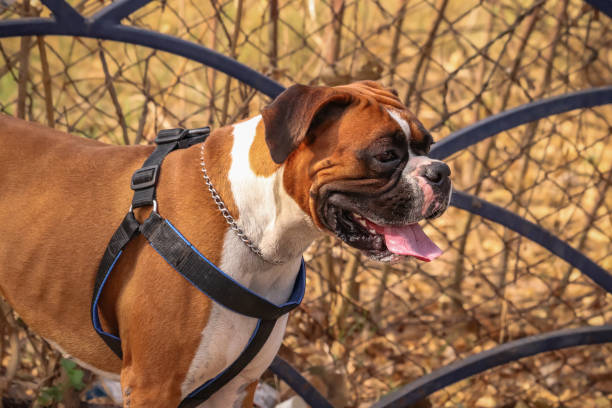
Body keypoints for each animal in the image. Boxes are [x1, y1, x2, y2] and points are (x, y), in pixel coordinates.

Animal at [0, 81, 450, 406]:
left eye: (428, 146)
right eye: (386, 155)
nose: (441, 171)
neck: (255, 231)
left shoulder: (236, 386)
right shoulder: (152, 386)